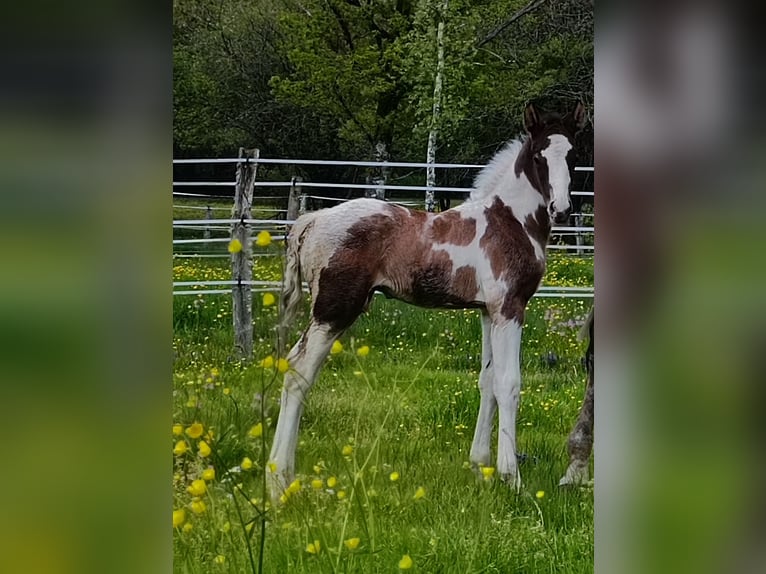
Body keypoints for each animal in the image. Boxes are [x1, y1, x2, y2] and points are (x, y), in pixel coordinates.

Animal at [268, 103, 588, 500]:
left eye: (573, 155)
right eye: (538, 156)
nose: (562, 209)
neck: (511, 220)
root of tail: (310, 221)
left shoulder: (487, 312)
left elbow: (487, 381)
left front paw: (480, 467)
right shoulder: (510, 307)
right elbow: (508, 383)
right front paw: (511, 476)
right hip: (333, 309)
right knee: (298, 371)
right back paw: (279, 481)